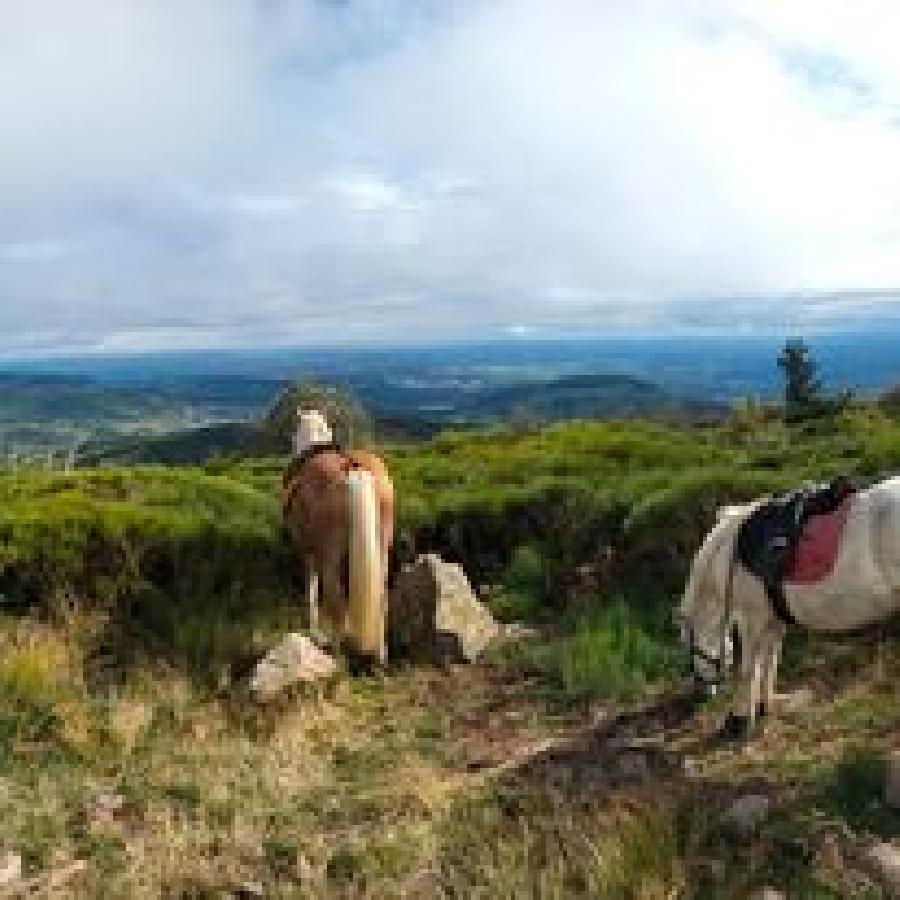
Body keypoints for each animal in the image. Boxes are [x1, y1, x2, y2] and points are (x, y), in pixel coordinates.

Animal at [282, 412, 394, 664]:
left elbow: (312, 588)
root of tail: (352, 467)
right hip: (382, 547)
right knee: (382, 597)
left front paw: (312, 628)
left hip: (329, 557)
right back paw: (381, 656)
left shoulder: (308, 552)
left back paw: (337, 655)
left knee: (337, 603)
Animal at [676, 478, 900, 740]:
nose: (701, 692)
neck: (727, 556)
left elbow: (749, 669)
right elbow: (770, 660)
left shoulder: (752, 618)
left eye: (687, 646)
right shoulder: (774, 619)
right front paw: (764, 707)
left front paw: (738, 721)